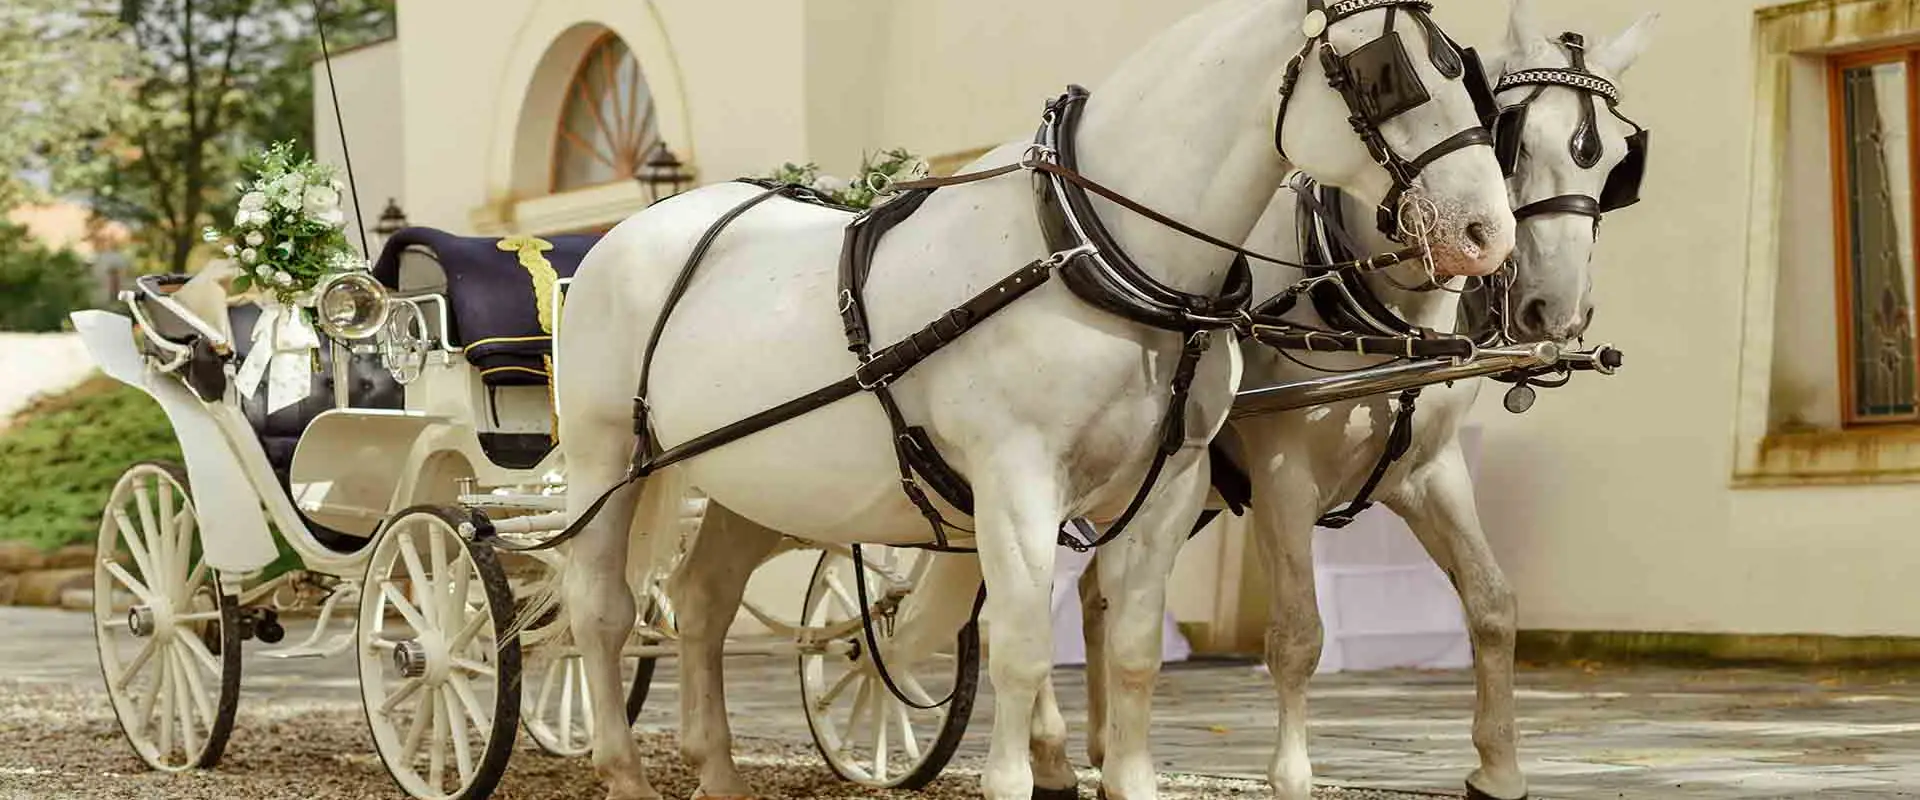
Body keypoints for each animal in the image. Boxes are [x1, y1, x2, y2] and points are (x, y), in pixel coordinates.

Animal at [552, 1, 1513, 798]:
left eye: (1466, 72)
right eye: (1387, 72)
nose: (1487, 234)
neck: (1094, 248)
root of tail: (627, 232)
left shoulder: (1171, 485)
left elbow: (1130, 650)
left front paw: (1126, 779)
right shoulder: (1018, 483)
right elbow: (1019, 649)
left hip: (754, 482)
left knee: (703, 600)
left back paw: (715, 771)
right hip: (607, 462)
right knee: (599, 614)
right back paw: (623, 770)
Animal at [1069, 4, 1659, 799]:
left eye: (1615, 162)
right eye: (1512, 132)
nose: (1555, 310)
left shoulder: (1431, 474)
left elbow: (1493, 604)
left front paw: (1499, 768)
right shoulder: (1283, 479)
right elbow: (1296, 633)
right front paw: (1291, 776)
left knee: (1093, 593)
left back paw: (1102, 748)